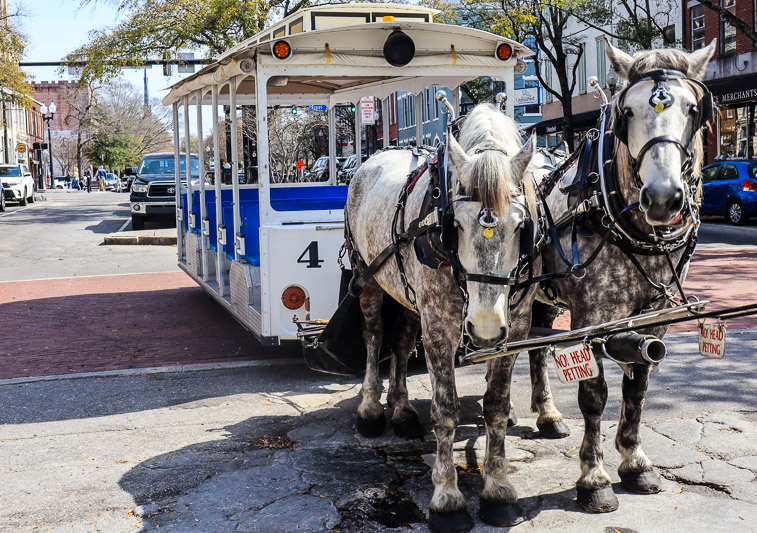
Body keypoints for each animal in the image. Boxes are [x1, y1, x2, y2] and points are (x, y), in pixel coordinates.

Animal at [524, 42, 716, 512]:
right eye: (627, 112)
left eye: (693, 109)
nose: (663, 198)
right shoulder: (591, 318)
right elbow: (594, 395)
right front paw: (593, 478)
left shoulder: (654, 316)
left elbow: (638, 388)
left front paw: (635, 461)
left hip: (542, 296)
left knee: (537, 349)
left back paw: (548, 415)